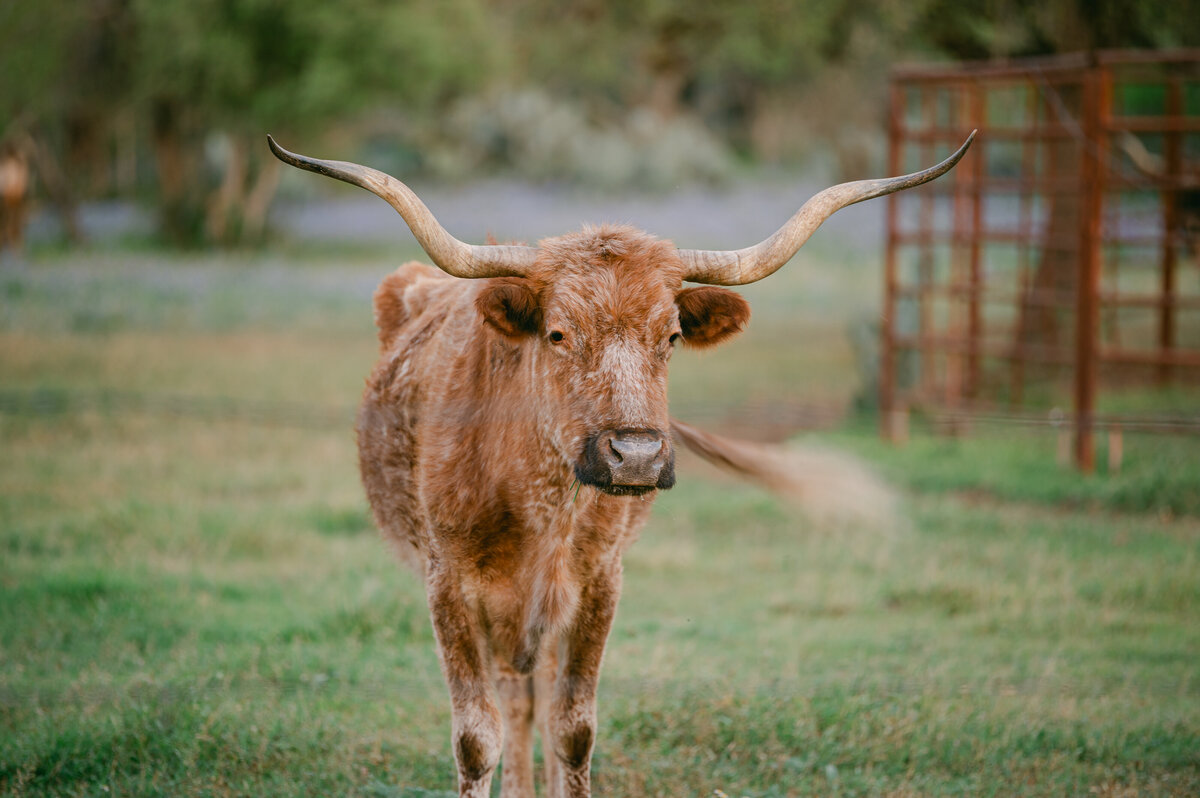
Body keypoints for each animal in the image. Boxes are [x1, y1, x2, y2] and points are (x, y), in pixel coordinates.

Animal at [267, 132, 969, 796]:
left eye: (672, 336)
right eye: (557, 333)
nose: (636, 455)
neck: (540, 502)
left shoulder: (599, 584)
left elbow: (573, 730)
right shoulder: (450, 585)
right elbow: (476, 739)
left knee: (535, 703)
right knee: (514, 705)